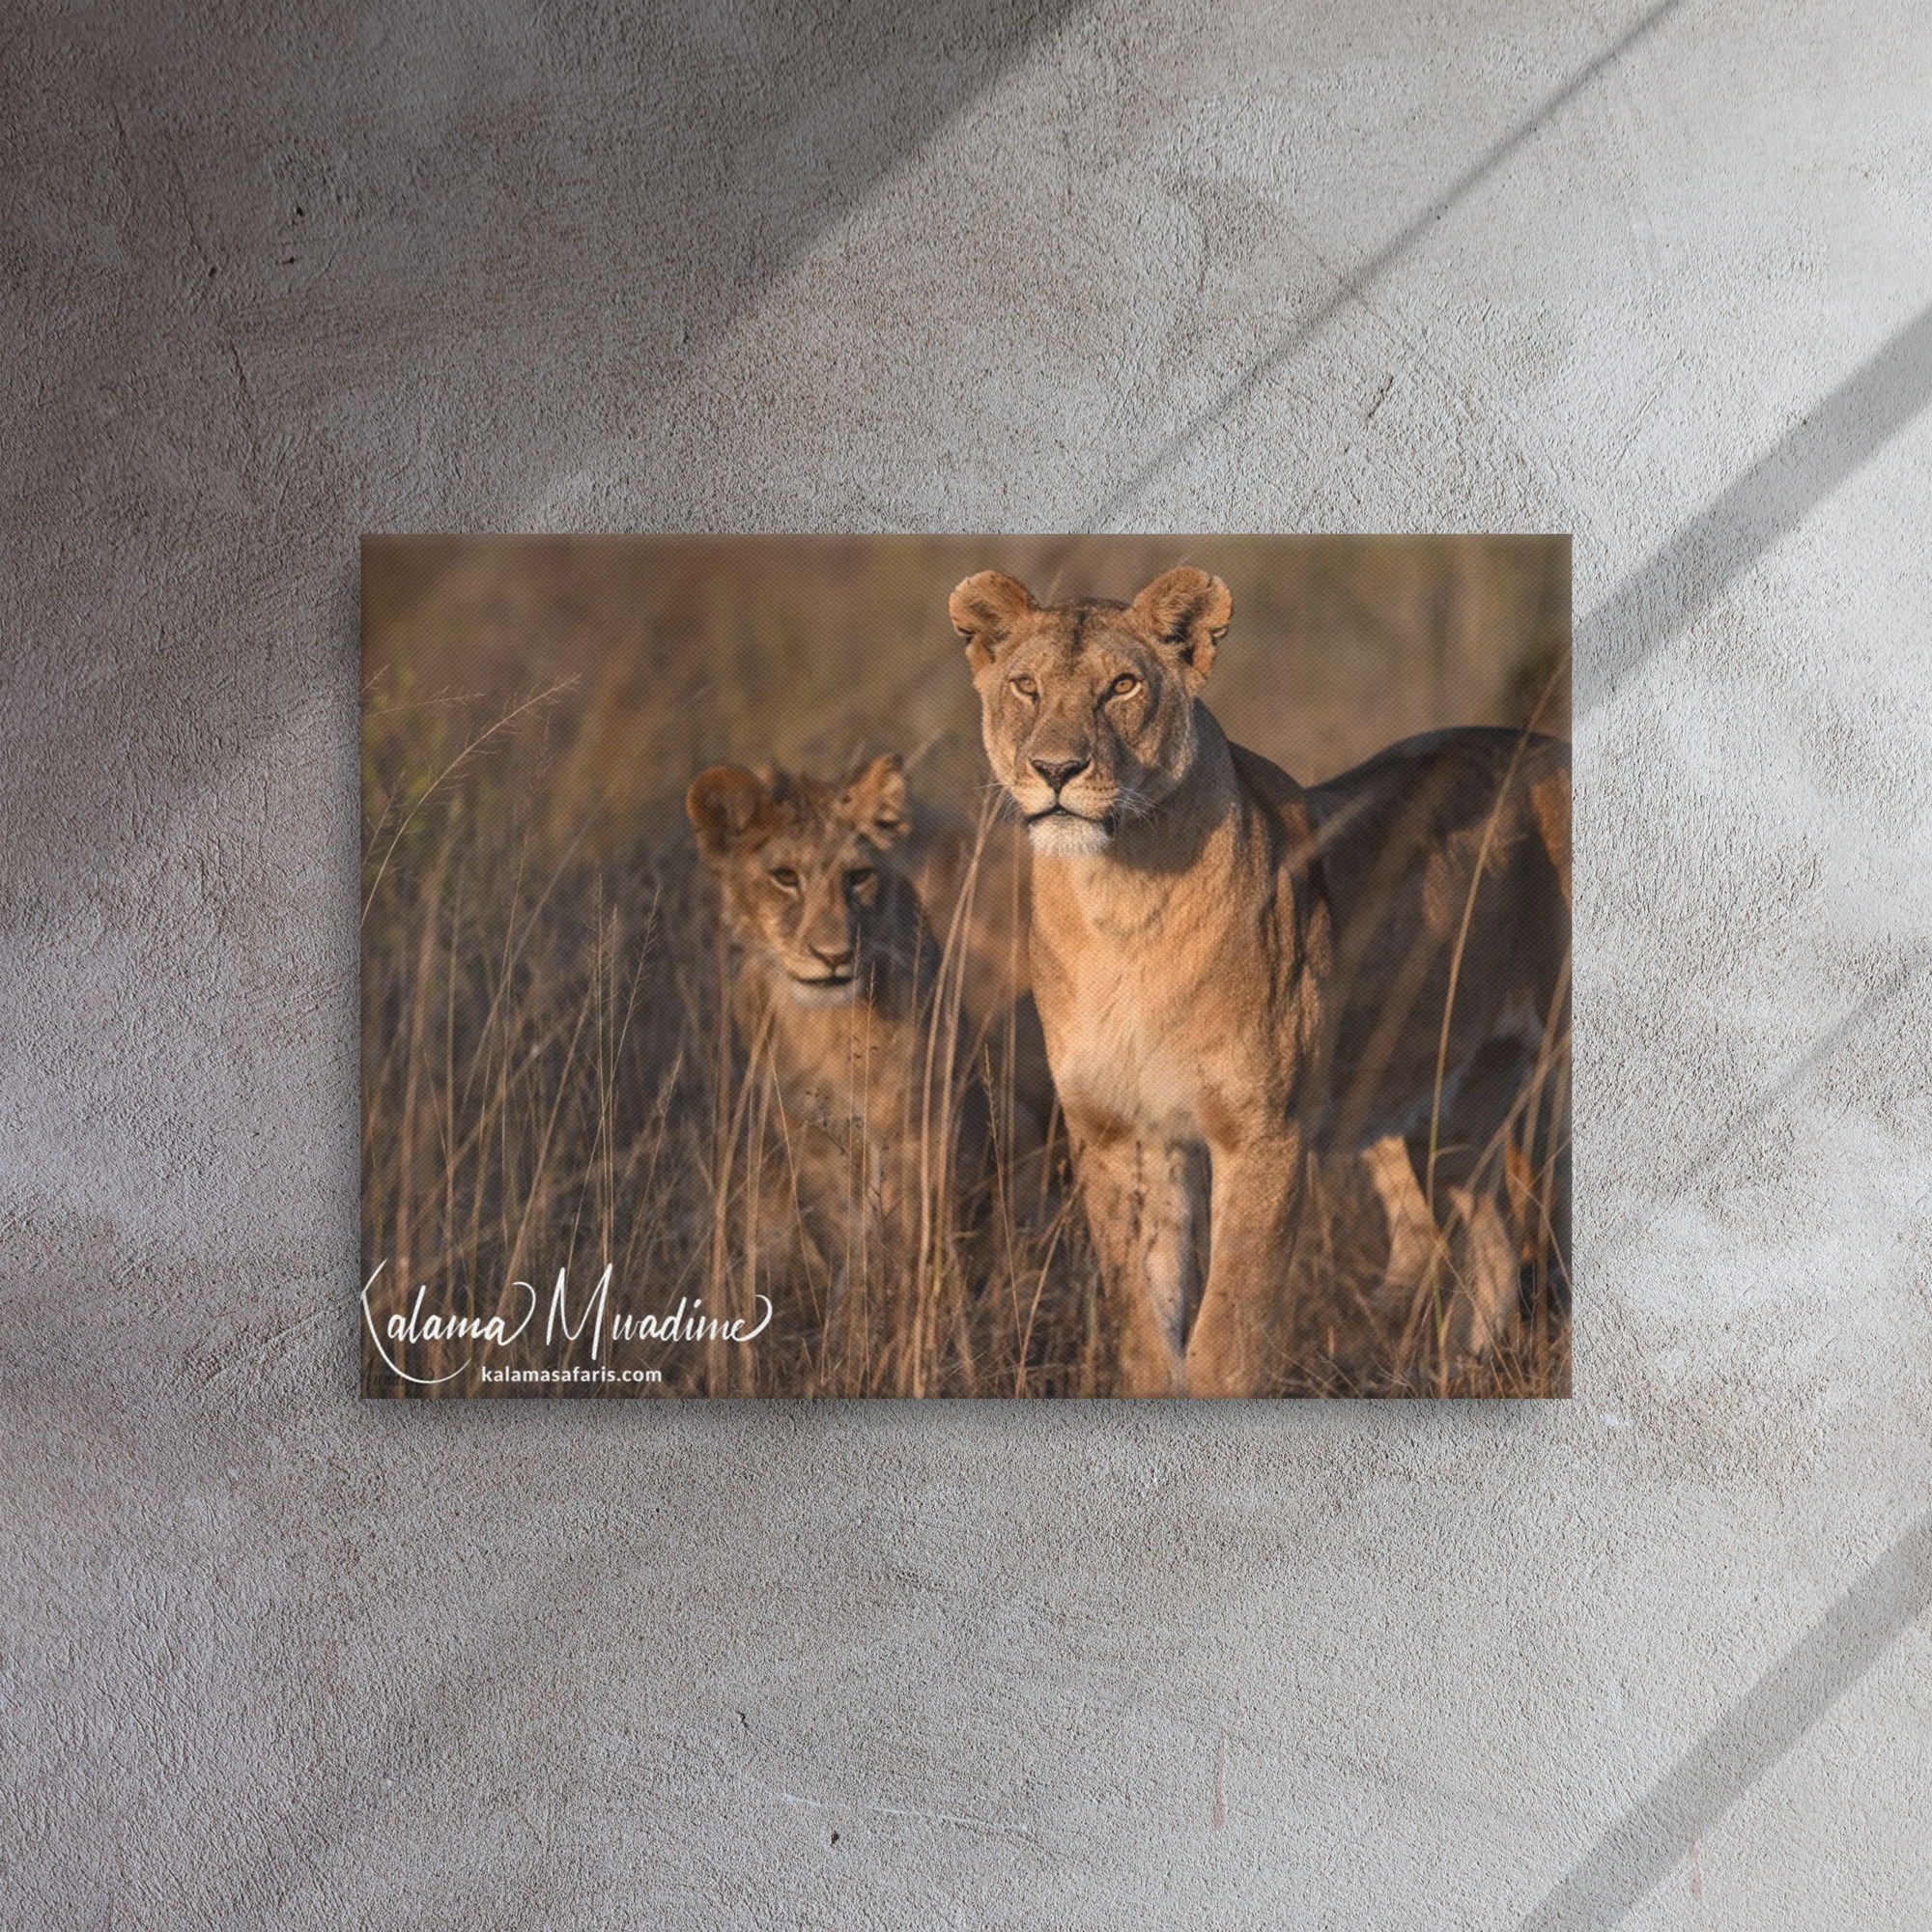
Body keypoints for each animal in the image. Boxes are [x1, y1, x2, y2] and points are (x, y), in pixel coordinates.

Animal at [953, 565, 1570, 1397]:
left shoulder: (1263, 1131)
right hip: (1452, 1111)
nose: (1055, 770)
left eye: (1122, 686)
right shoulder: (1120, 1134)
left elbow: (1228, 1330)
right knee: (1494, 1247)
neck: (1120, 902)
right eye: (1026, 686)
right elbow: (1143, 1325)